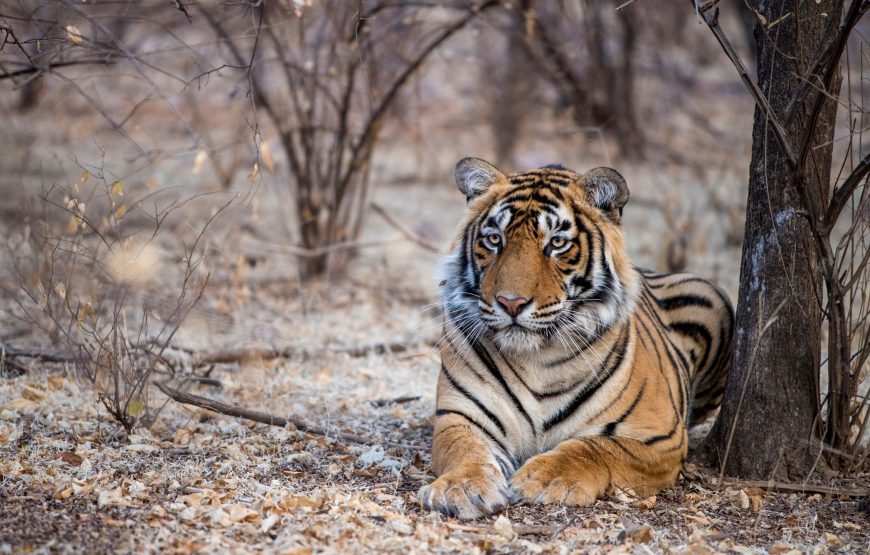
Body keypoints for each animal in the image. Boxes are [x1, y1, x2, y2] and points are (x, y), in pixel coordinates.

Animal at [418, 158, 734, 520]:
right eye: (495, 239)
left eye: (557, 243)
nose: (511, 303)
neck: (536, 358)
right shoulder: (461, 417)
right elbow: (466, 450)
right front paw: (462, 488)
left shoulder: (659, 434)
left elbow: (596, 445)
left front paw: (545, 478)